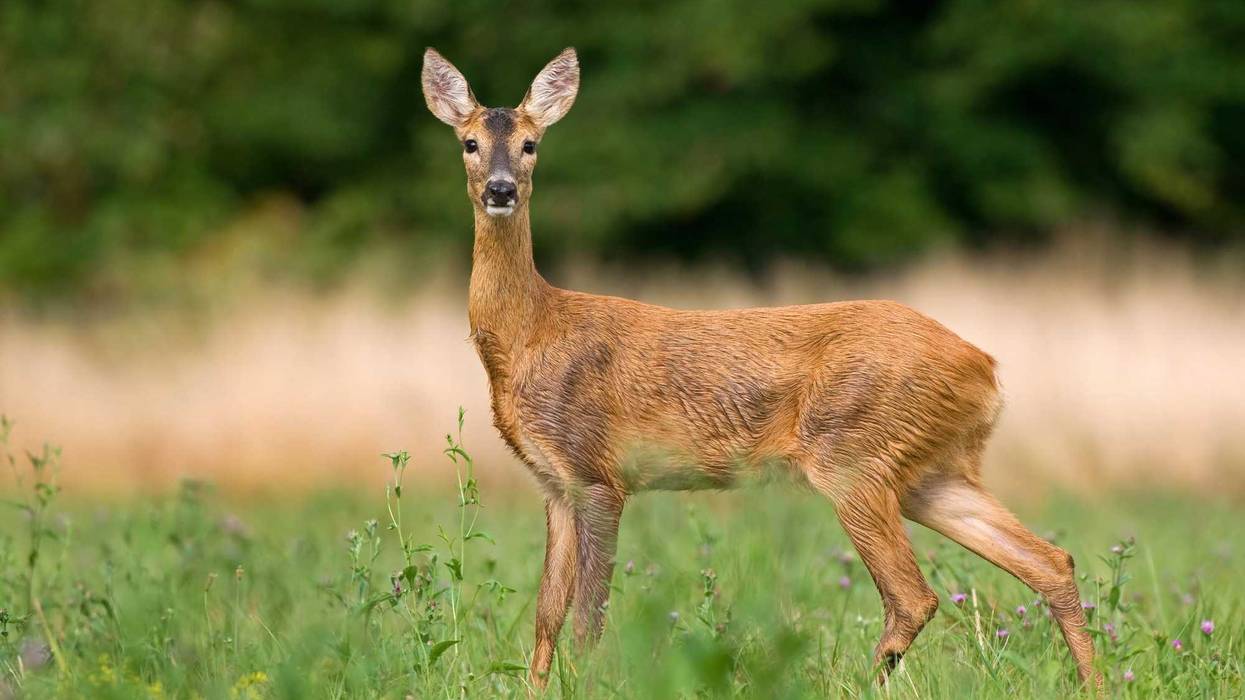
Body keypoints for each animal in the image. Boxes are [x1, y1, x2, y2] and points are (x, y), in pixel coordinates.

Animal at [421, 46, 1099, 691]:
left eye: (531, 144)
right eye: (469, 143)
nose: (501, 190)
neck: (531, 333)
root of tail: (985, 368)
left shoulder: (598, 474)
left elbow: (588, 620)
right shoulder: (554, 484)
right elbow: (546, 614)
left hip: (852, 453)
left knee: (914, 596)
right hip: (930, 471)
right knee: (1049, 560)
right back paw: (1093, 682)